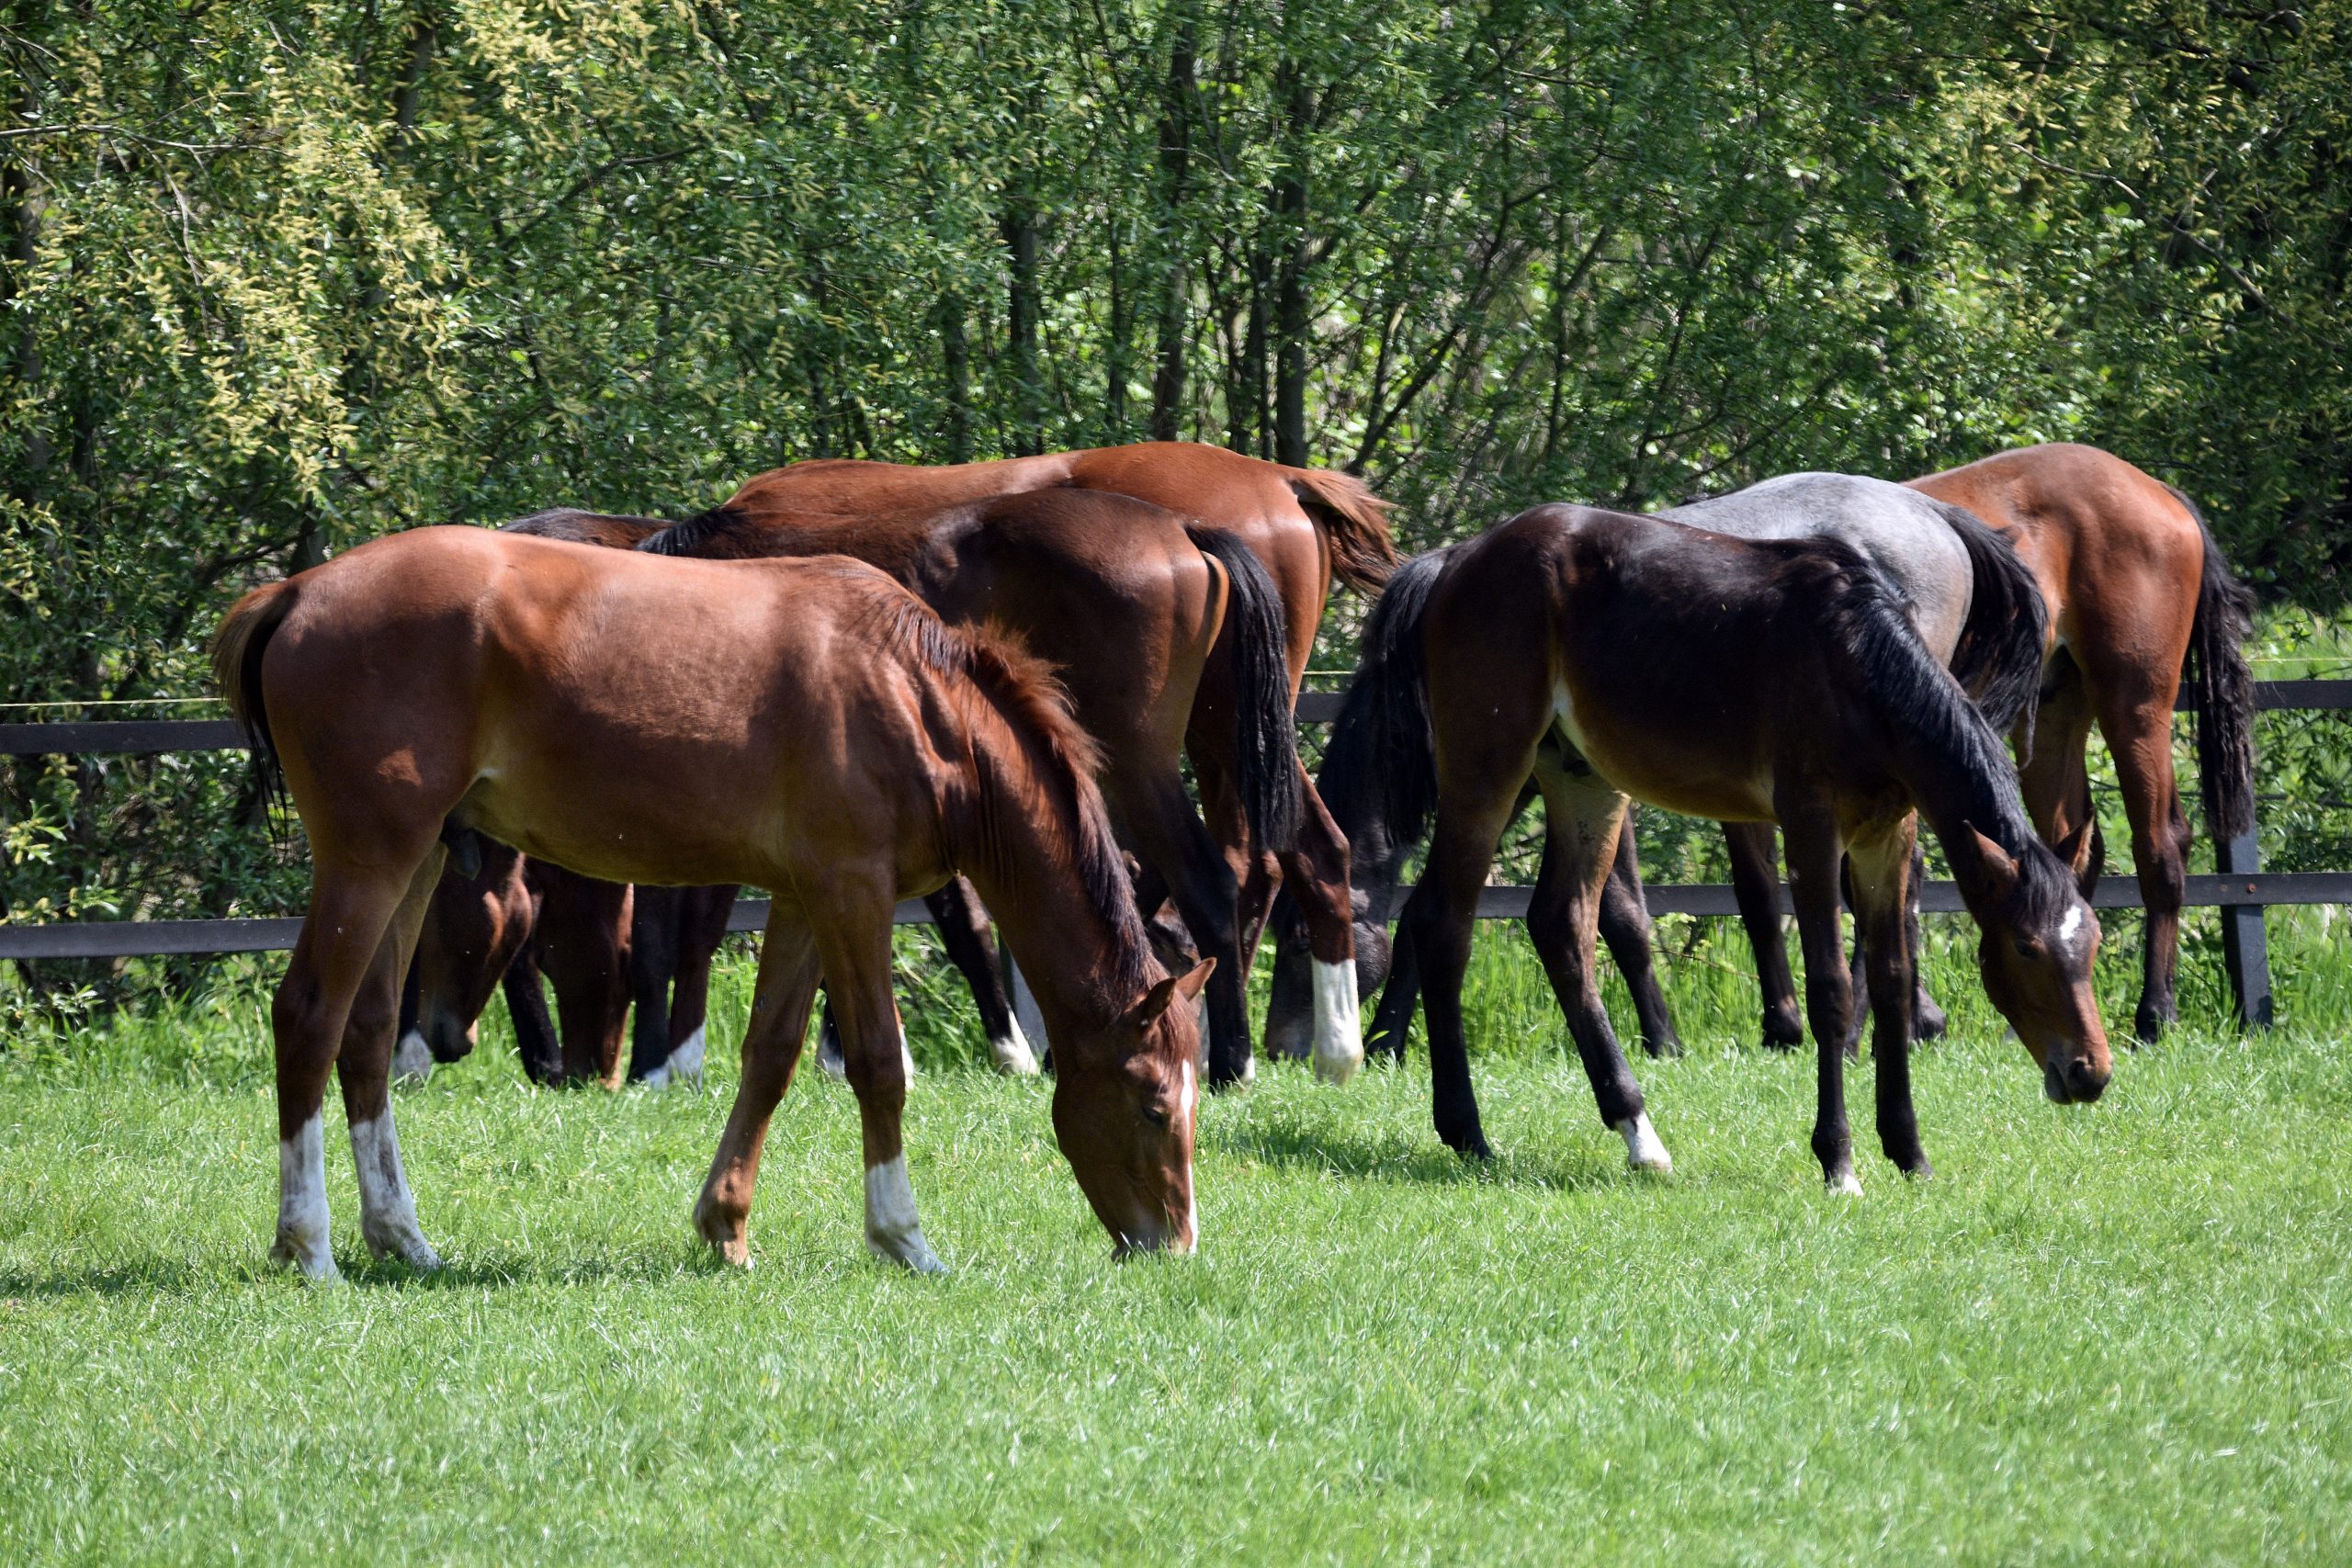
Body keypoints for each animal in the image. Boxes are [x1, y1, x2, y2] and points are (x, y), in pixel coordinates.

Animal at [212, 528, 1212, 1281]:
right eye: (1153, 1104)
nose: (1174, 1247)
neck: (913, 696)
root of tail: (297, 592)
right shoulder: (853, 896)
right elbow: (877, 1064)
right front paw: (904, 1239)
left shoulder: (807, 900)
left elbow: (770, 1056)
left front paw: (725, 1226)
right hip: (369, 861)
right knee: (309, 1016)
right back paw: (309, 1246)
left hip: (416, 864)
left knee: (369, 1031)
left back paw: (402, 1238)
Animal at [690, 443, 1397, 1073]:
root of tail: (1279, 482)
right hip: (1234, 731)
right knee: (1297, 855)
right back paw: (1321, 1048)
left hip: (1167, 751)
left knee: (1215, 874)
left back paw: (1230, 1055)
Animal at [1268, 472, 2049, 1061]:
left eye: (1305, 937)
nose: (1283, 1046)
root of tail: (1936, 513)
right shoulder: (1561, 785)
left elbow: (1618, 918)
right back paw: (1900, 1020)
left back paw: (1861, 1026)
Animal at [1321, 505, 2108, 1190]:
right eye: (2027, 949)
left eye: (2093, 944)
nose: (2090, 1072)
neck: (1851, 657)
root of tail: (1452, 561)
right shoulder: (1811, 825)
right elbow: (1830, 988)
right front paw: (1839, 1161)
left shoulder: (1887, 834)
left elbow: (1890, 980)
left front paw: (1910, 1152)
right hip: (1488, 772)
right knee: (1444, 923)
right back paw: (1468, 1130)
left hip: (1584, 780)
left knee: (1562, 925)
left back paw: (1639, 1132)